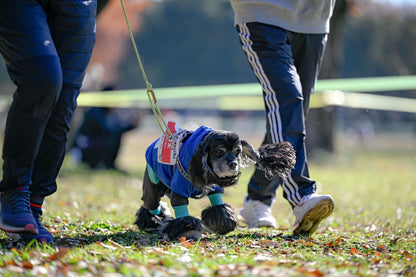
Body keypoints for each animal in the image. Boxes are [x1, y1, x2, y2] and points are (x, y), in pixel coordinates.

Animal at [134, 121, 296, 239]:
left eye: (237, 152)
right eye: (219, 152)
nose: (233, 164)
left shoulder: (215, 189)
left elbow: (220, 208)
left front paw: (223, 224)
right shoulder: (179, 189)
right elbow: (183, 215)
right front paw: (187, 232)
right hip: (152, 183)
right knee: (151, 204)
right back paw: (153, 223)